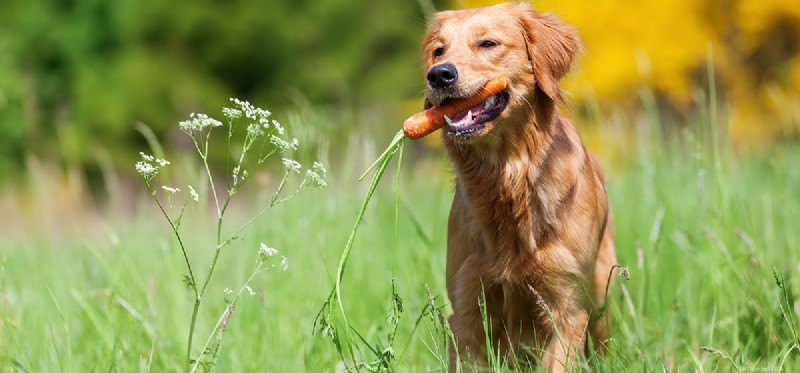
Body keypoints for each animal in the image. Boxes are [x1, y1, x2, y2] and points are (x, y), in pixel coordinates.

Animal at [422, 1, 616, 370]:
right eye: (438, 50)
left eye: (488, 43)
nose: (439, 75)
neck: (508, 178)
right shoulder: (467, 306)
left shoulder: (567, 305)